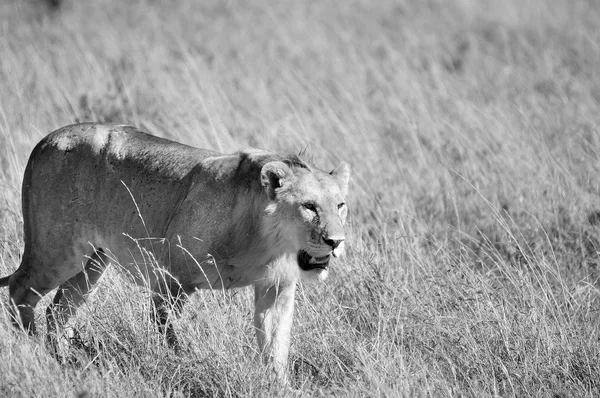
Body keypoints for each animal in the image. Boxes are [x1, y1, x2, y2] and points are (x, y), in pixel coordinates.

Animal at [0, 122, 350, 382]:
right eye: (309, 206)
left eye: (340, 205)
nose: (336, 241)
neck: (268, 242)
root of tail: (46, 140)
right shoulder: (171, 278)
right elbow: (171, 334)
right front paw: (189, 365)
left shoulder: (277, 288)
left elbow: (276, 346)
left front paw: (278, 386)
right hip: (58, 251)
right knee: (21, 291)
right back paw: (34, 351)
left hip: (93, 262)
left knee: (58, 310)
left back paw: (65, 362)